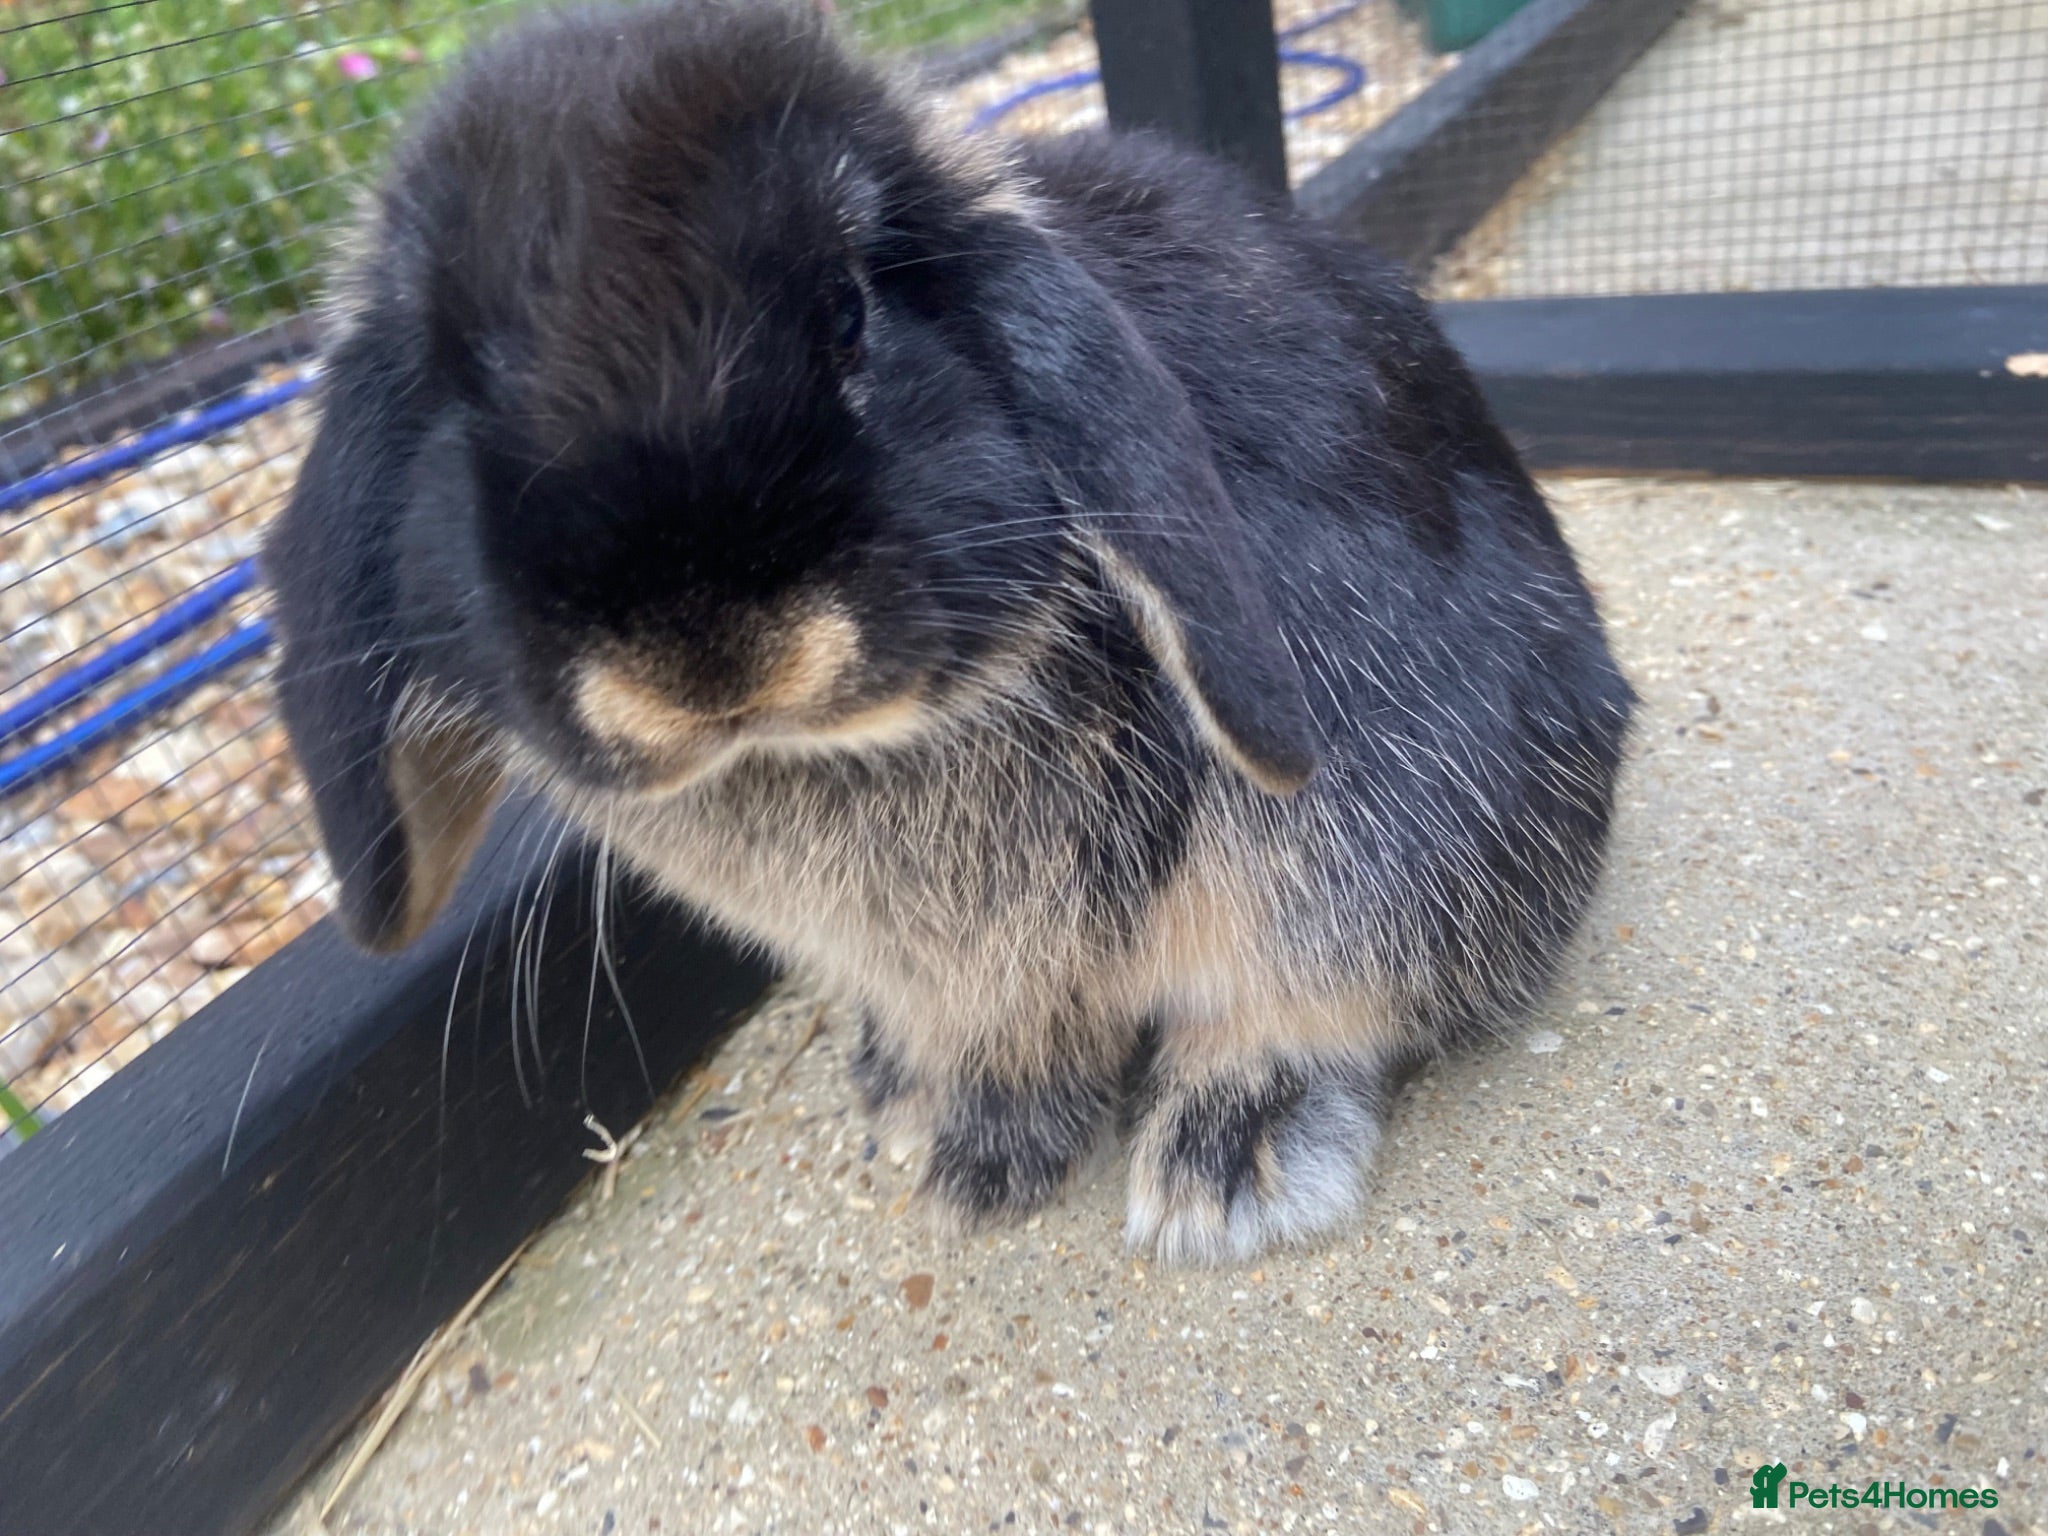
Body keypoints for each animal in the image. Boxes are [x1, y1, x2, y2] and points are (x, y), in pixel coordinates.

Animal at [265, 0, 1634, 1265]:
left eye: (850, 318)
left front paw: (1006, 1167)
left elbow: (1242, 1005)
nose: (705, 661)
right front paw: (941, 1137)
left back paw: (1222, 1160)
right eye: (460, 400)